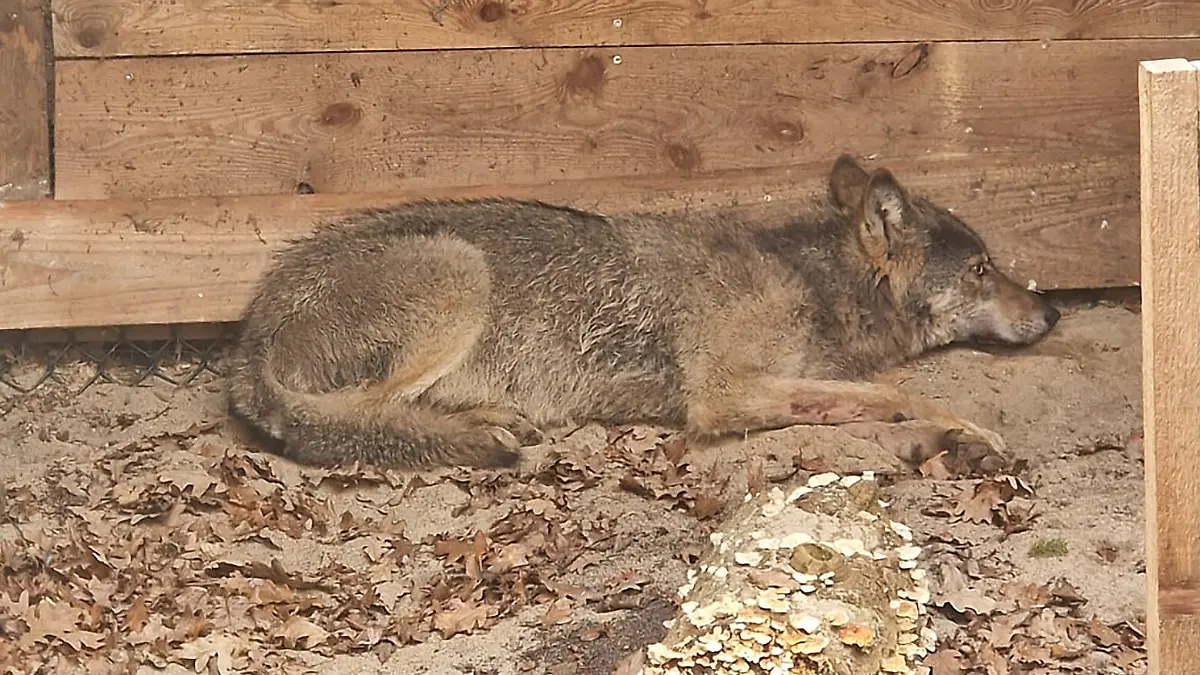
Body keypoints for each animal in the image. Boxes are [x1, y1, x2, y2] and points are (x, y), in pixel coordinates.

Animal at [226, 154, 1060, 473]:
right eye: (983, 269)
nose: (1052, 309)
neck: (807, 281)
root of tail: (247, 337)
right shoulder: (722, 394)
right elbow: (898, 393)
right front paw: (969, 433)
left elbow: (875, 396)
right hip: (459, 273)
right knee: (356, 419)